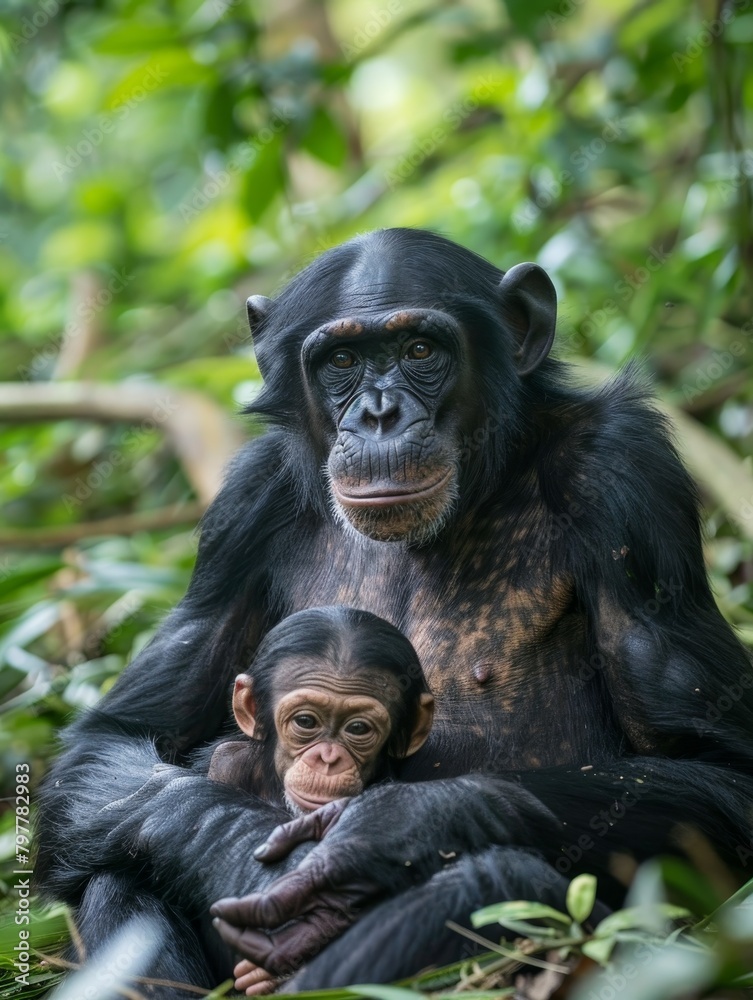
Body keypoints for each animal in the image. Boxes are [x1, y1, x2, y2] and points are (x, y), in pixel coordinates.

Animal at [38, 230, 752, 996]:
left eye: (419, 350)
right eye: (342, 362)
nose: (378, 413)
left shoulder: (628, 475)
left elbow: (721, 773)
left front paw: (395, 828)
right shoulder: (240, 511)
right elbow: (117, 739)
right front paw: (247, 850)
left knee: (500, 880)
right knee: (120, 866)